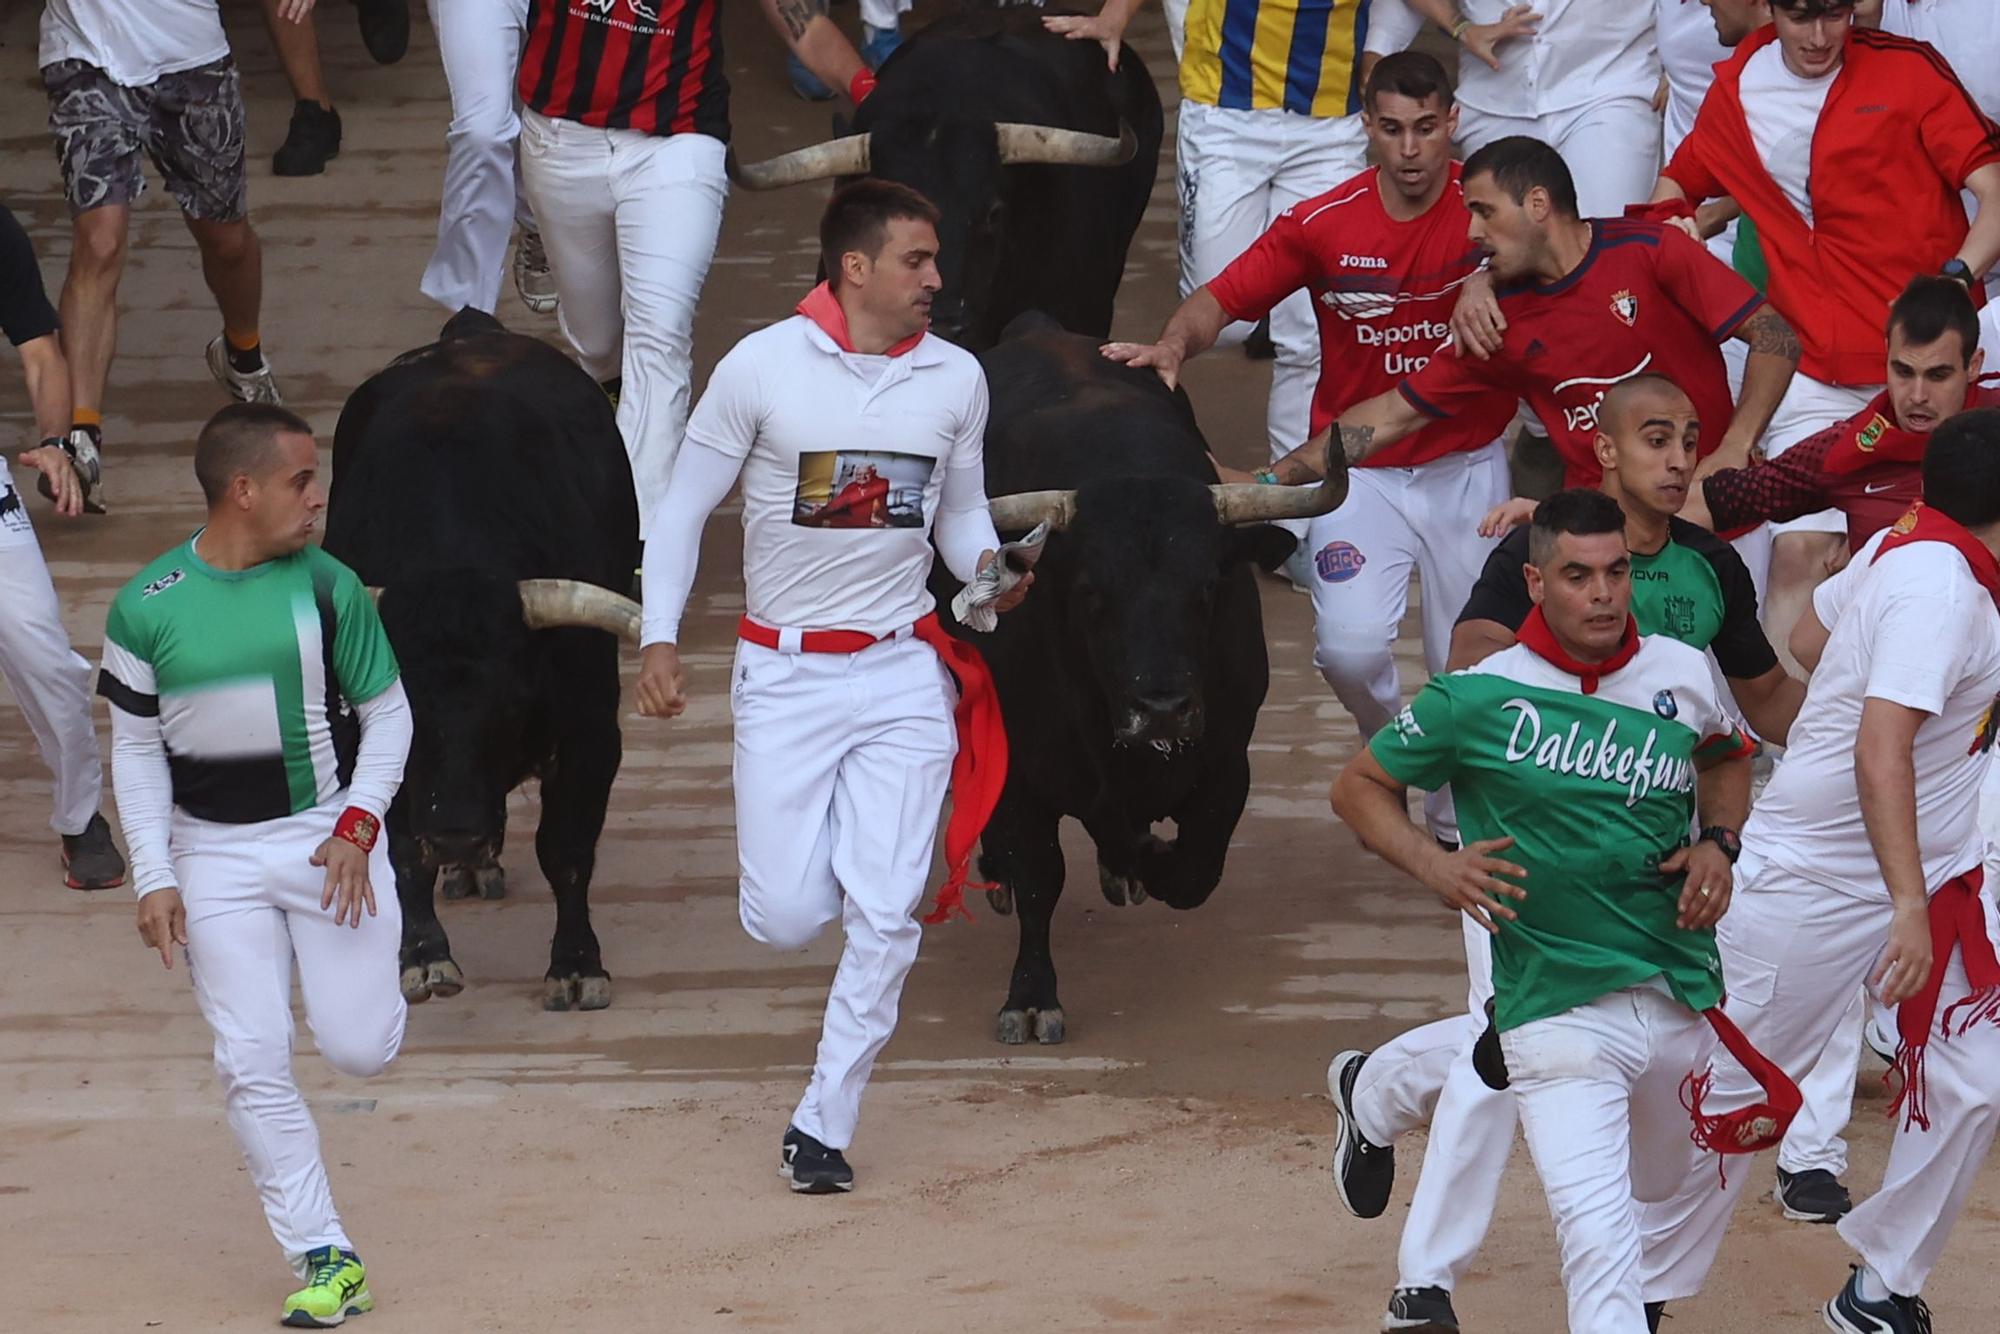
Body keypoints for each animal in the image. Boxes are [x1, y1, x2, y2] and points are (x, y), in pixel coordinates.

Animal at [324, 316, 640, 1012]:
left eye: (514, 703)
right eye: (406, 711)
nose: (458, 834)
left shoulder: (590, 733)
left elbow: (566, 849)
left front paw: (576, 965)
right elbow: (401, 849)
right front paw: (423, 958)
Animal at [932, 324, 1344, 1040]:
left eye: (1206, 588)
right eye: (1092, 593)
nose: (1162, 709)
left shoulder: (1228, 762)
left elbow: (1194, 869)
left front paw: (1143, 857)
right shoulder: (1023, 771)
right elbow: (1040, 873)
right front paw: (1031, 995)